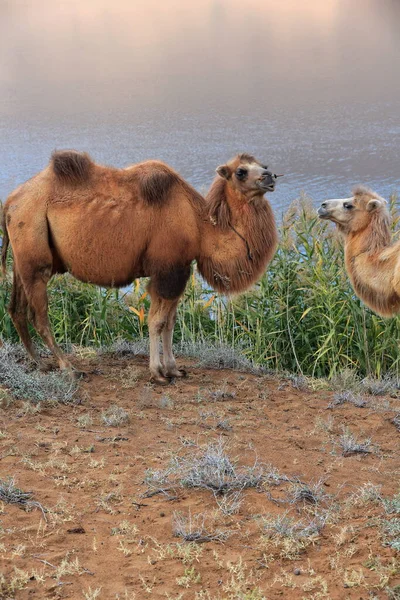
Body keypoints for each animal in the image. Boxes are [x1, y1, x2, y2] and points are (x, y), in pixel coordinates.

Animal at [1, 152, 280, 382]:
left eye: (264, 165)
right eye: (241, 171)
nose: (270, 177)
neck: (200, 227)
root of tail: (11, 201)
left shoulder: (179, 269)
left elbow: (170, 322)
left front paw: (174, 369)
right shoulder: (168, 270)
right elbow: (157, 321)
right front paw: (158, 373)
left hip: (22, 259)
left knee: (16, 308)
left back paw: (40, 363)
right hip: (34, 248)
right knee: (39, 316)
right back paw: (69, 368)